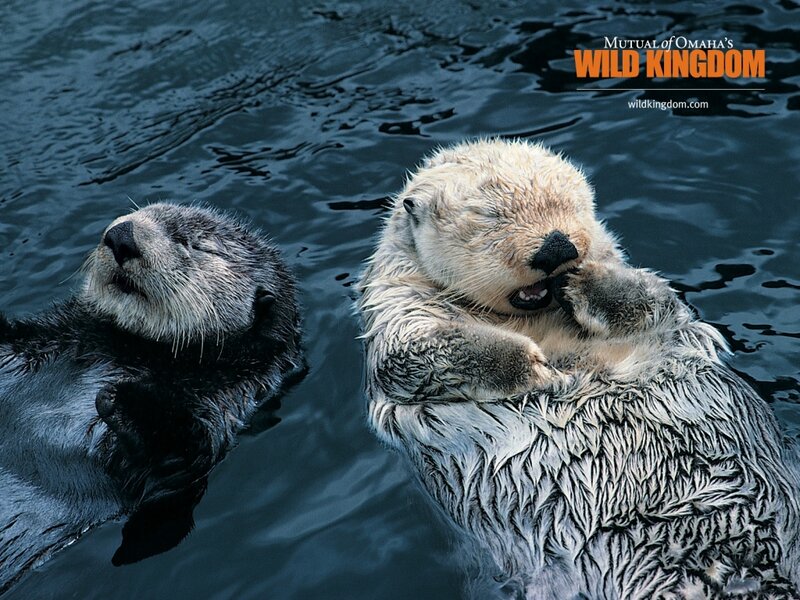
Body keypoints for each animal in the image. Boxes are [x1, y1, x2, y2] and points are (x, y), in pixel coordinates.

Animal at [0, 203, 302, 592]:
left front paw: (124, 399)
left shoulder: (220, 408)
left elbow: (175, 461)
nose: (121, 236)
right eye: (139, 211)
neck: (131, 350)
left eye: (196, 244)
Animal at [358, 139, 800, 599]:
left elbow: (652, 299)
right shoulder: (397, 311)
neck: (537, 320)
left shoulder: (658, 308)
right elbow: (414, 354)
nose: (557, 248)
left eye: (569, 203)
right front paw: (535, 367)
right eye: (489, 216)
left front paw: (582, 283)